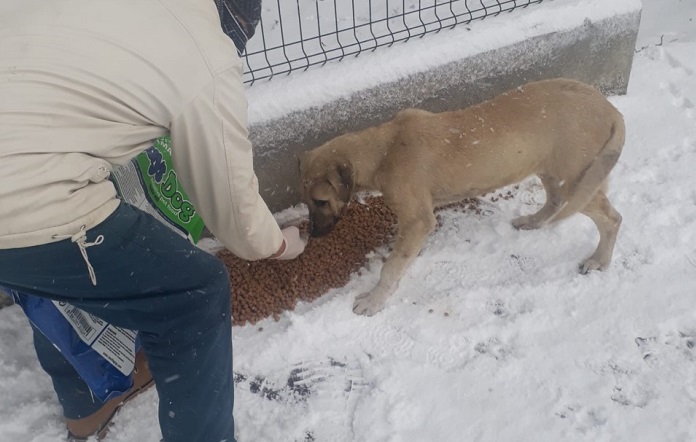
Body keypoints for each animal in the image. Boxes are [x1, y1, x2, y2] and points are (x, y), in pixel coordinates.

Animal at [300, 78, 624, 314]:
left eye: (321, 201)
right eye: (308, 201)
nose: (313, 234)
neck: (384, 149)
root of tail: (612, 110)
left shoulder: (419, 221)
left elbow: (391, 267)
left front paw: (374, 300)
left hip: (577, 180)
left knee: (612, 218)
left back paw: (599, 261)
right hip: (550, 170)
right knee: (555, 201)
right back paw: (533, 221)